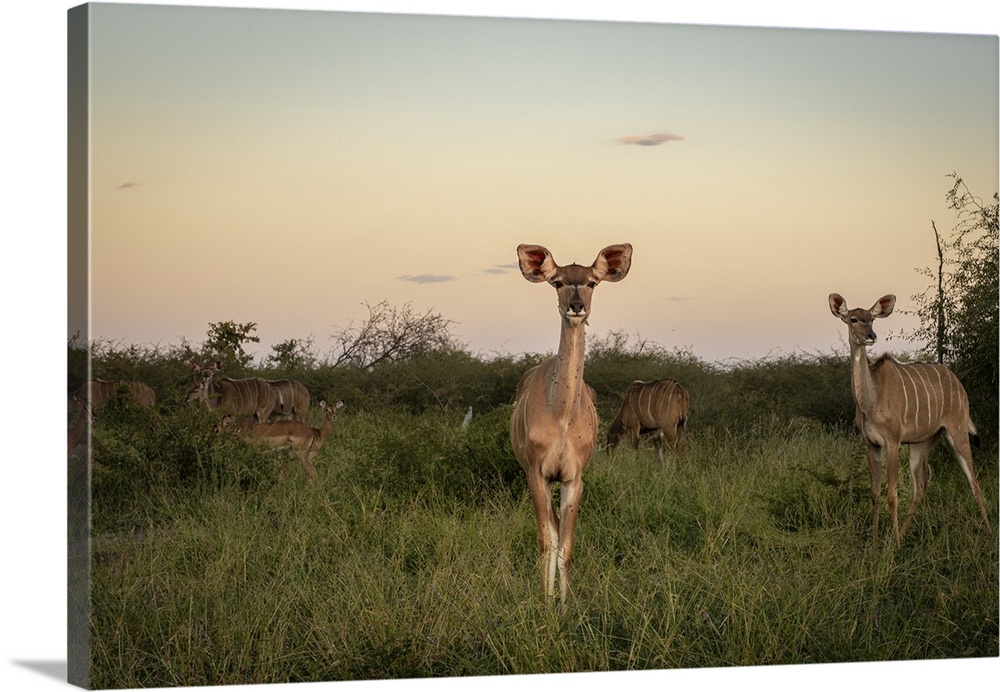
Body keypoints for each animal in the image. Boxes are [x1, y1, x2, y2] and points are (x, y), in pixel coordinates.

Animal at [508, 242, 632, 612]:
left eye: (592, 282)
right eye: (558, 282)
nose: (576, 307)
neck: (562, 416)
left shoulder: (573, 478)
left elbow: (566, 544)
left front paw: (564, 607)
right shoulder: (537, 473)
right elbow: (545, 540)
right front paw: (545, 603)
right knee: (549, 530)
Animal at [832, 292, 988, 548]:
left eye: (871, 319)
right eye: (853, 319)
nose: (871, 336)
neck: (871, 400)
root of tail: (958, 384)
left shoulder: (892, 443)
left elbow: (892, 494)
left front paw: (892, 545)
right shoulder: (871, 444)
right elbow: (875, 492)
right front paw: (875, 542)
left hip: (957, 433)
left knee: (974, 483)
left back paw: (988, 531)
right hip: (920, 444)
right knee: (921, 487)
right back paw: (902, 535)